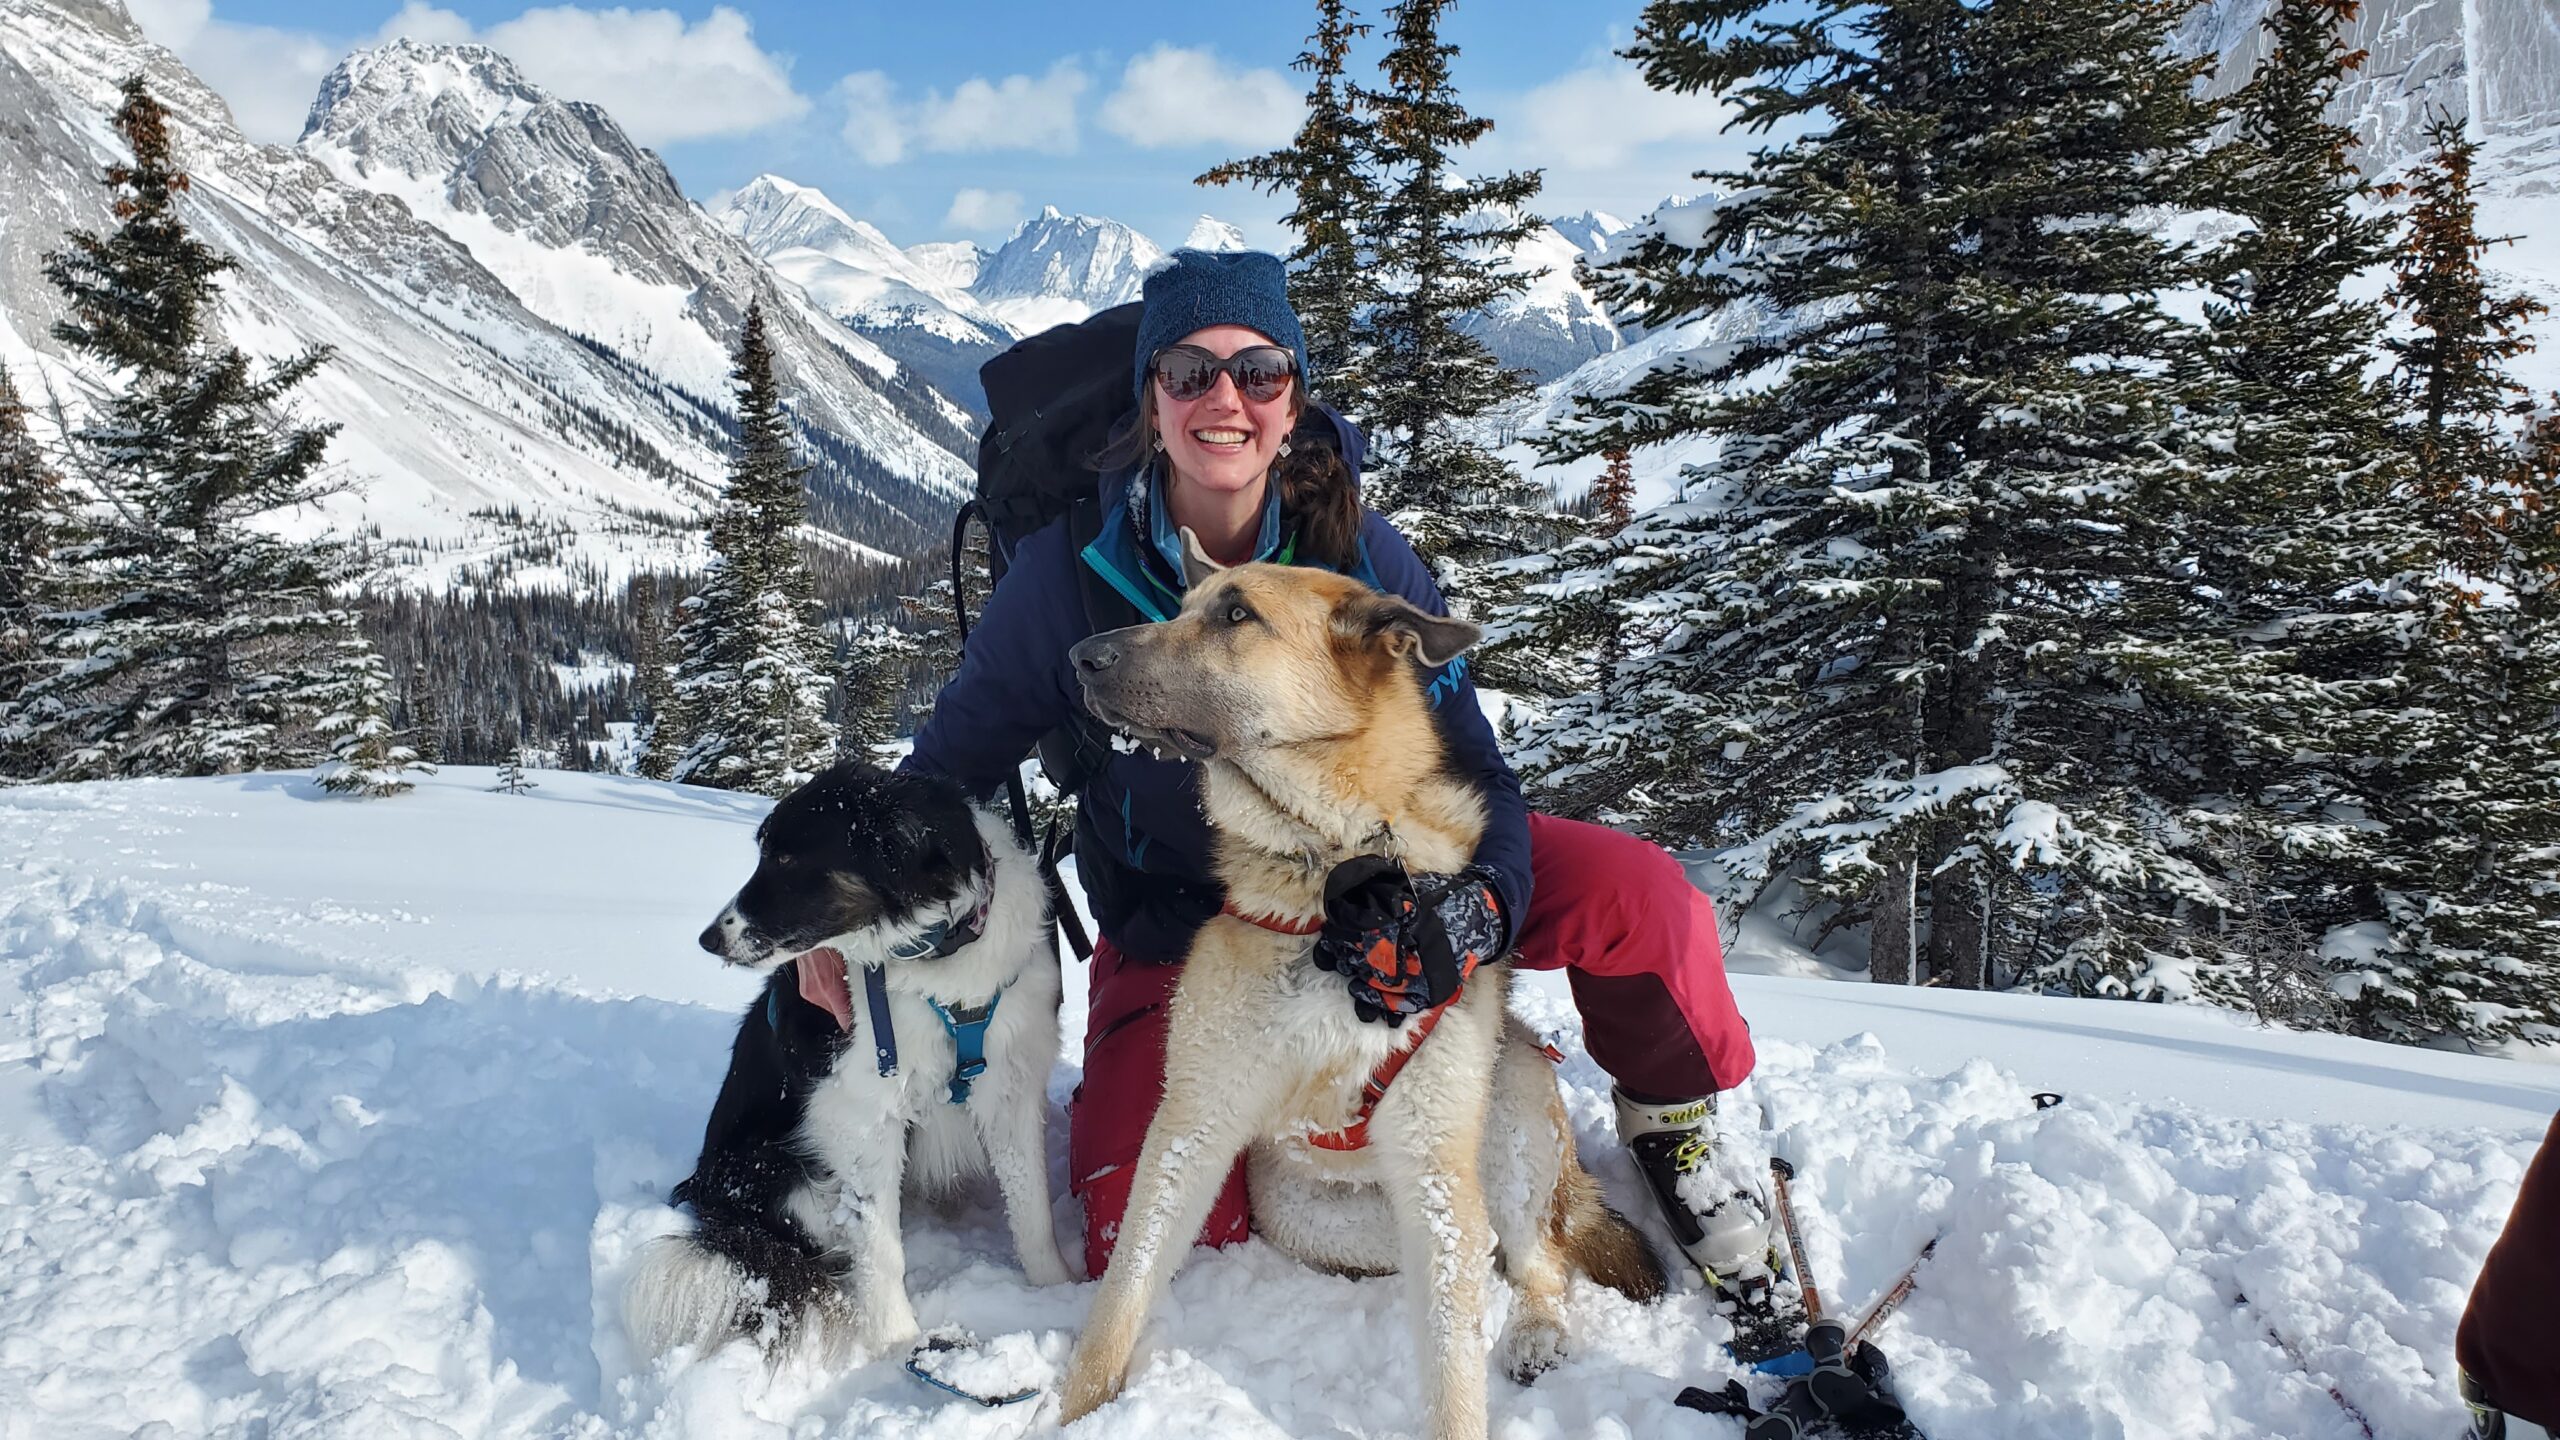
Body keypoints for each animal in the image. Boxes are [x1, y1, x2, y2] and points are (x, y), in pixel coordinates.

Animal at [629, 763, 1070, 1352]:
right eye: (765, 853)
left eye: (787, 859)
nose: (707, 940)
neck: (938, 959)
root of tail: (710, 1192)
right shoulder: (859, 1116)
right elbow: (881, 1249)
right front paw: (897, 1343)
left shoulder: (1010, 1090)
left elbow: (1032, 1209)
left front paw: (1059, 1292)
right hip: (790, 1179)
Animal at [1054, 535, 1658, 1434]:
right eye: (1182, 606)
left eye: (1236, 614)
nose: (1081, 656)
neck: (1334, 876)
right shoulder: (1193, 1124)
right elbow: (1125, 1286)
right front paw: (1074, 1410)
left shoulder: (1436, 1168)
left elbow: (1452, 1376)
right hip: (1318, 1219)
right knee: (1485, 1260)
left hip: (1508, 1120)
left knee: (1536, 1263)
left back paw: (1536, 1331)